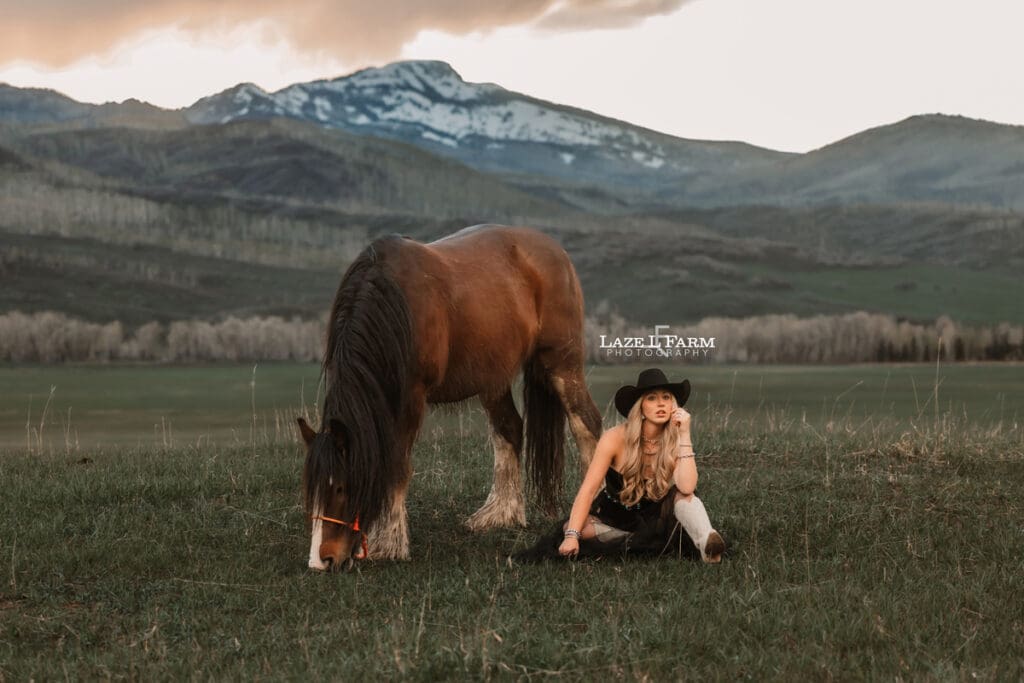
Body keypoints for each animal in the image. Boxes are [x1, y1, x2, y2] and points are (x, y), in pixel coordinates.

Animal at [297, 224, 602, 571]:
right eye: (311, 491)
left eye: (341, 487)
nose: (320, 560)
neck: (394, 303)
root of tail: (557, 252)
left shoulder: (411, 397)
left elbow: (398, 465)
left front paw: (389, 543)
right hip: (493, 377)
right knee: (509, 429)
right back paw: (500, 514)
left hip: (562, 363)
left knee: (586, 423)